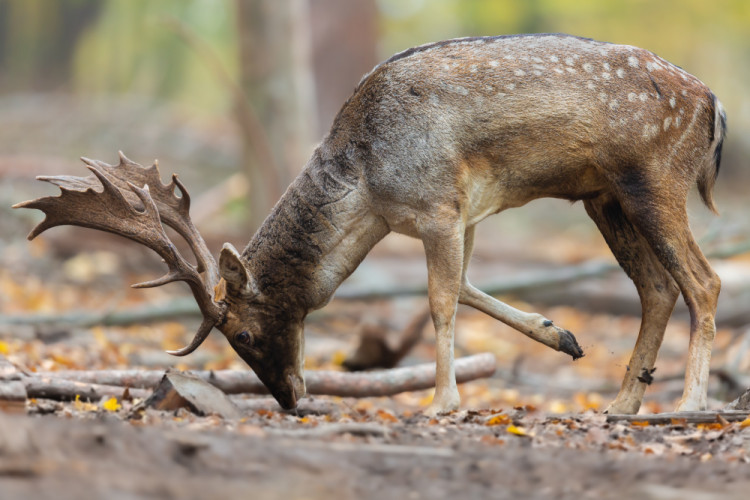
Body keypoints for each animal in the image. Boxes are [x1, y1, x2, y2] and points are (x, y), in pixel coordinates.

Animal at [13, 34, 728, 414]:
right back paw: (622, 404)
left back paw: (689, 404)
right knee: (658, 288)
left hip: (653, 179)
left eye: (242, 334)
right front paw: (562, 336)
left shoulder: (439, 204)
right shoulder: (462, 212)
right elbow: (466, 287)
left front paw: (443, 402)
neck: (370, 186)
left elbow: (441, 299)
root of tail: (714, 104)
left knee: (704, 280)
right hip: (604, 198)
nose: (289, 399)